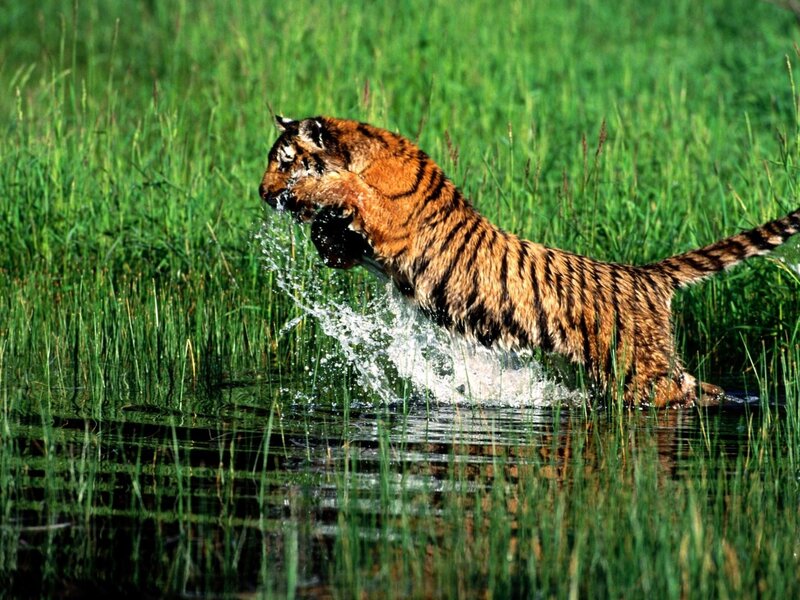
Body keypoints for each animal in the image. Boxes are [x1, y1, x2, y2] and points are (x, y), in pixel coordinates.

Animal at [259, 115, 800, 407]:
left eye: (284, 161)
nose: (263, 194)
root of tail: (646, 275)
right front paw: (323, 234)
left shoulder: (391, 218)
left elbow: (349, 189)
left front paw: (315, 193)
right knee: (695, 383)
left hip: (638, 372)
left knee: (675, 392)